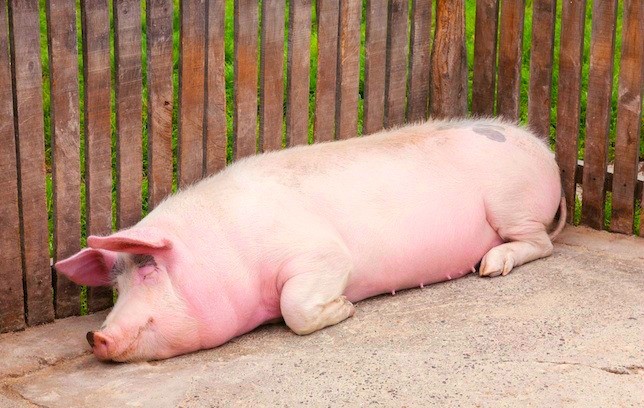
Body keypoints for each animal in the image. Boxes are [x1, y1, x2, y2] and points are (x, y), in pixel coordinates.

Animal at [55, 118, 566, 362]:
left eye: (148, 269)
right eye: (116, 285)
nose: (95, 334)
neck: (228, 251)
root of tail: (544, 150)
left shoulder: (324, 256)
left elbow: (294, 306)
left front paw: (346, 308)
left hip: (511, 205)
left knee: (541, 244)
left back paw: (489, 266)